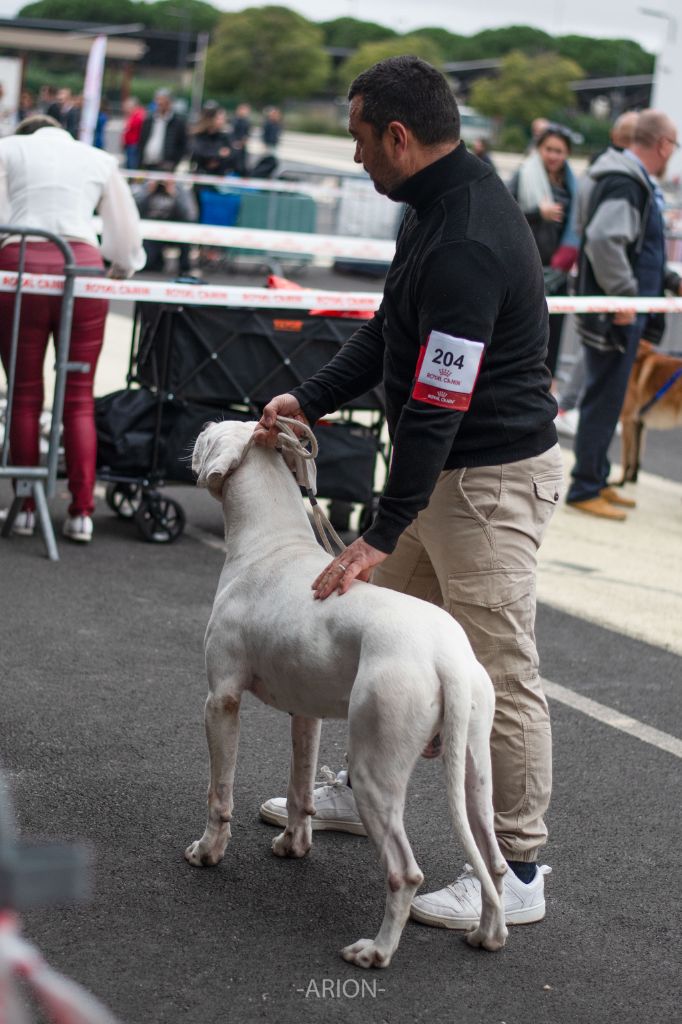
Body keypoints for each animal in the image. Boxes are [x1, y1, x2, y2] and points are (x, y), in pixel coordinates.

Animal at [186, 419, 503, 962]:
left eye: (213, 434)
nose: (200, 425)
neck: (269, 545)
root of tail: (446, 657)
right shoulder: (305, 714)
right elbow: (299, 788)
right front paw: (293, 845)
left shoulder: (221, 703)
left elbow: (219, 792)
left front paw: (208, 852)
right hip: (475, 772)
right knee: (494, 860)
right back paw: (488, 934)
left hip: (376, 766)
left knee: (405, 873)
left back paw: (375, 952)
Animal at [614, 335, 679, 479]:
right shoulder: (638, 422)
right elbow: (636, 454)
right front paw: (632, 478)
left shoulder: (627, 419)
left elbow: (626, 456)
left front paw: (621, 481)